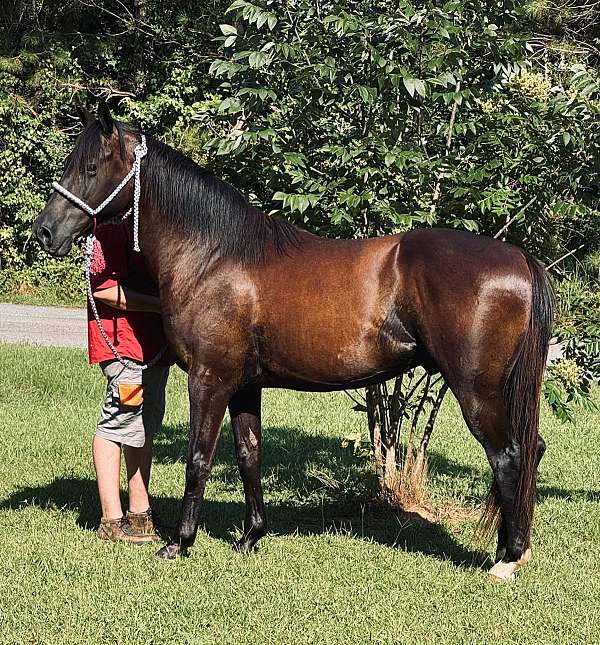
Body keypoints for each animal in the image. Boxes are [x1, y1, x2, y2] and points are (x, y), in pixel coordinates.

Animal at [33, 103, 553, 581]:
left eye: (90, 168)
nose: (44, 231)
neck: (214, 255)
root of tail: (519, 258)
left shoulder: (209, 379)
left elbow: (198, 459)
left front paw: (179, 543)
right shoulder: (243, 386)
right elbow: (249, 455)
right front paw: (250, 536)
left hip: (476, 390)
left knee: (509, 456)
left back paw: (507, 560)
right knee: (529, 450)